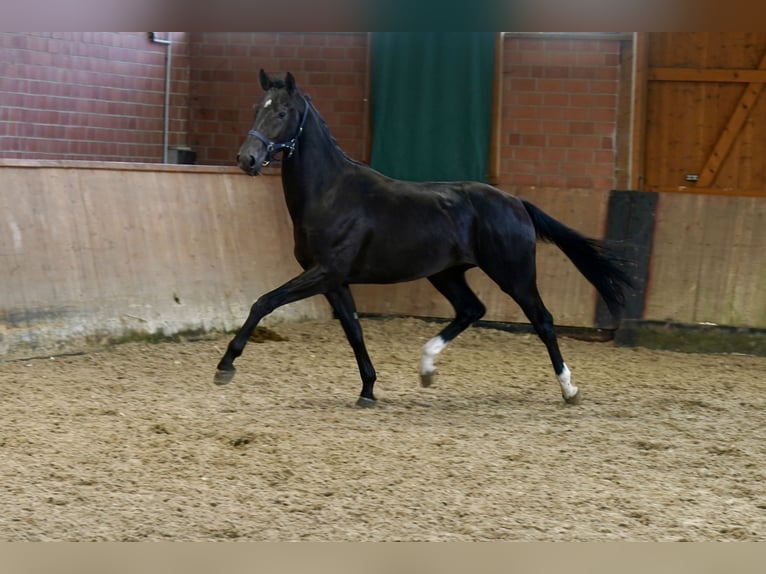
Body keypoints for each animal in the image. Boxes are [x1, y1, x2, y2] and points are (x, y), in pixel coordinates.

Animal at [214, 71, 632, 410]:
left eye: (282, 113)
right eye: (257, 108)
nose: (247, 159)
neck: (331, 193)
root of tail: (516, 202)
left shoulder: (325, 272)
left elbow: (264, 302)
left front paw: (225, 366)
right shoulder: (334, 280)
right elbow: (354, 330)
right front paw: (368, 390)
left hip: (513, 274)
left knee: (542, 320)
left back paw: (569, 390)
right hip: (446, 273)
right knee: (471, 309)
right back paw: (427, 369)